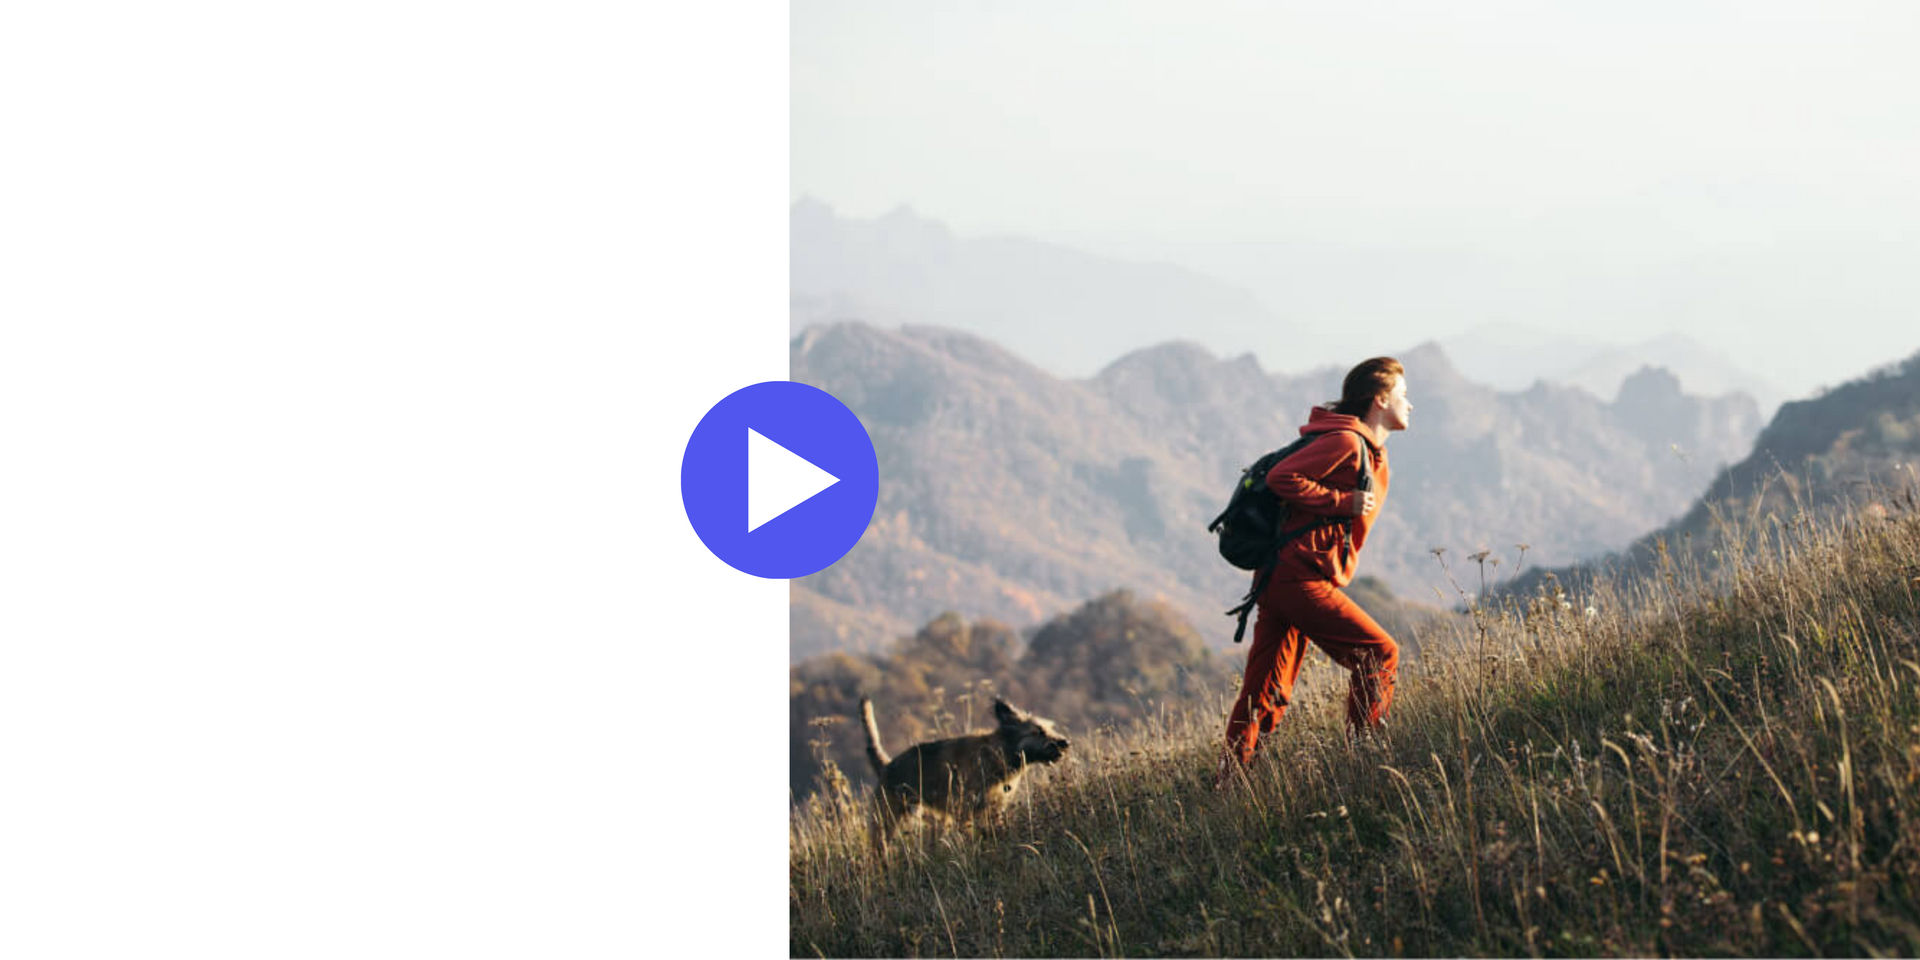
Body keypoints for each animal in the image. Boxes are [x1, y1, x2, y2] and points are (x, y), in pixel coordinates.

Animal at [864, 695, 1075, 852]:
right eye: (1038, 731)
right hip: (886, 822)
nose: (1065, 742)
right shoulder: (964, 811)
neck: (997, 753)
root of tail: (886, 765)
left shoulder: (994, 811)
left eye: (1048, 728)